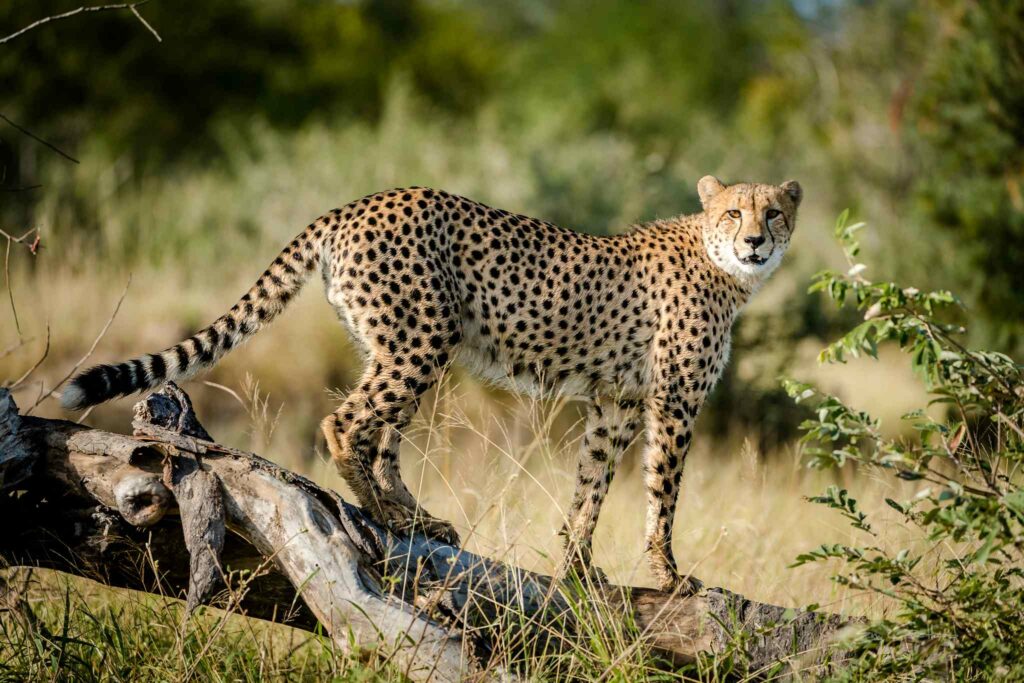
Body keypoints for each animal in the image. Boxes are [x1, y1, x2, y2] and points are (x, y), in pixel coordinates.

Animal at [61, 175, 802, 592]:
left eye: (774, 213)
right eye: (734, 213)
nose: (757, 241)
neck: (721, 265)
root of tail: (357, 204)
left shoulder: (614, 405)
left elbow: (591, 486)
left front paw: (579, 569)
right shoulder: (671, 403)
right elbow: (661, 496)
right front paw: (668, 575)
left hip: (407, 347)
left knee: (383, 435)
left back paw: (415, 517)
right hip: (420, 341)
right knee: (345, 423)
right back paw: (385, 517)